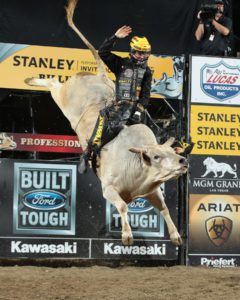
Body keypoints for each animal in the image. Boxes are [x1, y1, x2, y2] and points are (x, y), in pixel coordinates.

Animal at [25, 0, 188, 245]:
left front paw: (176, 236)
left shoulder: (152, 190)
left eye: (171, 152)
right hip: (63, 97)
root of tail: (101, 76)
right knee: (53, 82)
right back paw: (31, 79)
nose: (182, 161)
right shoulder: (108, 188)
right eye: (157, 156)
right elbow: (122, 206)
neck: (136, 166)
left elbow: (165, 208)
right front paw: (127, 236)